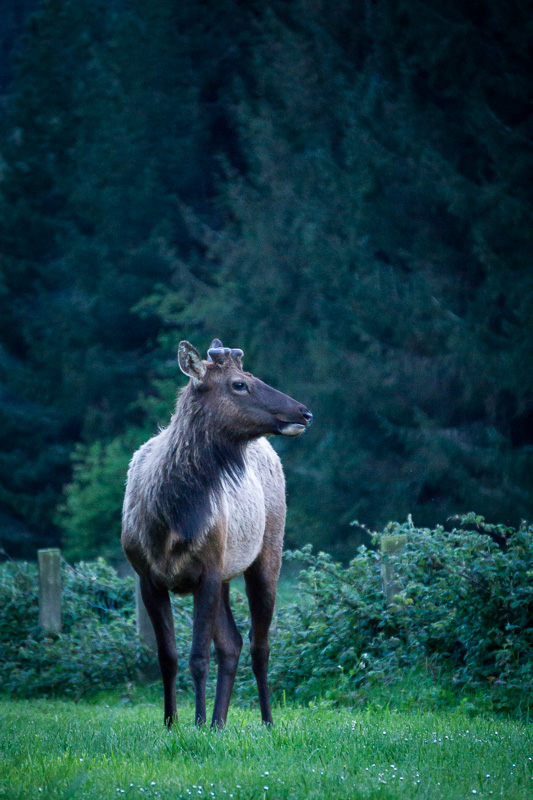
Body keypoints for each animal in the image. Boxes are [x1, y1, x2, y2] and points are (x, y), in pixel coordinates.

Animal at [121, 339, 312, 728]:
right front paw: (171, 723)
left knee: (259, 644)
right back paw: (219, 723)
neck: (170, 521)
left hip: (268, 554)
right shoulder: (147, 577)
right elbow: (168, 657)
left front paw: (194, 723)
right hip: (226, 573)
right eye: (239, 384)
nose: (304, 413)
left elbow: (198, 656)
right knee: (233, 642)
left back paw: (266, 721)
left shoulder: (206, 571)